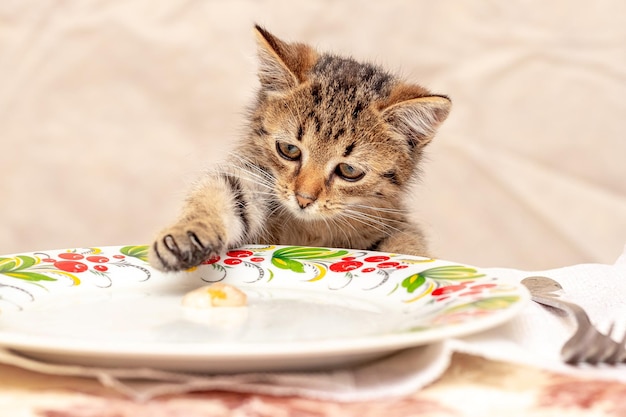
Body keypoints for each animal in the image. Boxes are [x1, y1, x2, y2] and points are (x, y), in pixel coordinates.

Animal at [149, 26, 450, 272]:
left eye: (349, 170)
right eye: (289, 150)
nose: (303, 199)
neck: (309, 231)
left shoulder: (393, 220)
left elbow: (407, 242)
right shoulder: (256, 177)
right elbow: (221, 189)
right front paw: (187, 235)